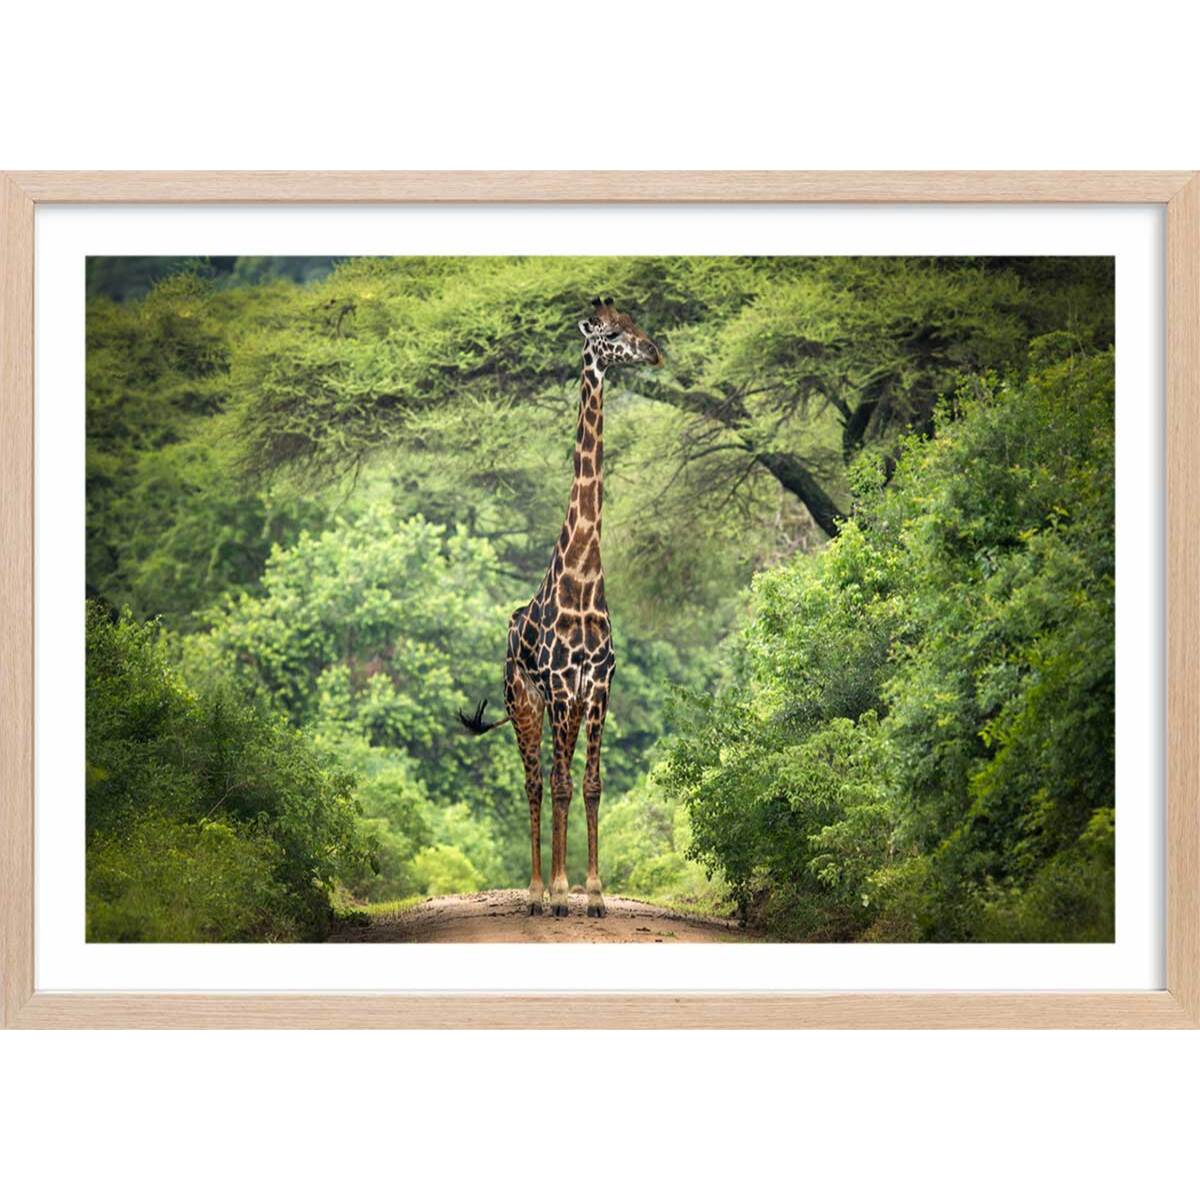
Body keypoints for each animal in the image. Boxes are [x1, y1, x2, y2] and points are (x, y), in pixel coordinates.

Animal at [459, 297, 663, 917]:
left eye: (636, 322)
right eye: (612, 334)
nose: (654, 351)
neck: (583, 578)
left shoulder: (597, 684)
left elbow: (590, 784)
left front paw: (592, 893)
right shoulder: (555, 686)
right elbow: (559, 783)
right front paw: (559, 893)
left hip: (561, 706)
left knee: (558, 777)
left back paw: (556, 888)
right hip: (524, 703)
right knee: (535, 781)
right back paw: (535, 892)